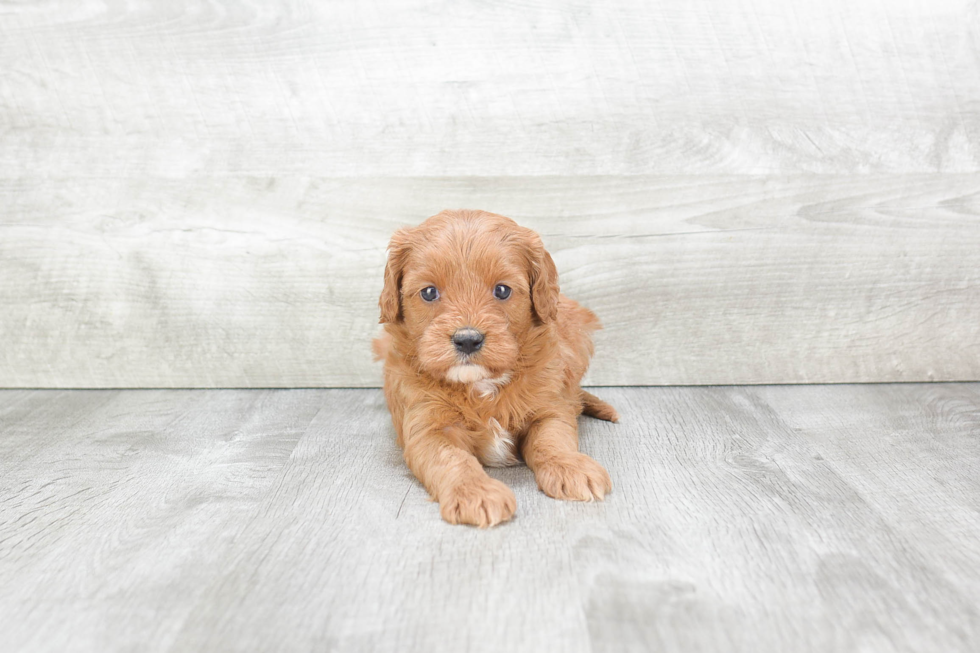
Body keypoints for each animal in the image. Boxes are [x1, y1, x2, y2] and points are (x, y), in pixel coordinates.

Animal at [372, 211, 616, 528]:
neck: (482, 385)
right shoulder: (427, 427)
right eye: (429, 292)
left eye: (502, 290)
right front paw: (475, 492)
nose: (467, 339)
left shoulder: (548, 409)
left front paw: (570, 466)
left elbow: (553, 439)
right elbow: (452, 458)